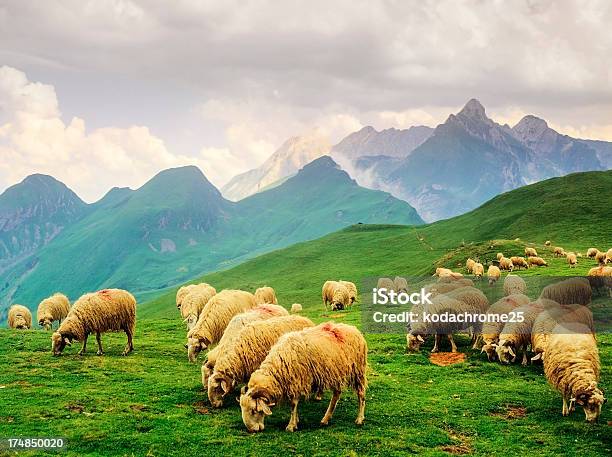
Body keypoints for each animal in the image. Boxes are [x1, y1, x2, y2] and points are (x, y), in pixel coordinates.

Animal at [238, 320, 366, 432]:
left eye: (254, 410)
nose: (252, 430)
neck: (278, 366)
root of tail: (353, 328)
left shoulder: (297, 380)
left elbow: (293, 404)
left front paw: (291, 426)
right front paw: (296, 420)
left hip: (358, 370)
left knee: (361, 394)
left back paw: (359, 418)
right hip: (335, 372)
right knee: (336, 394)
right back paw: (325, 419)